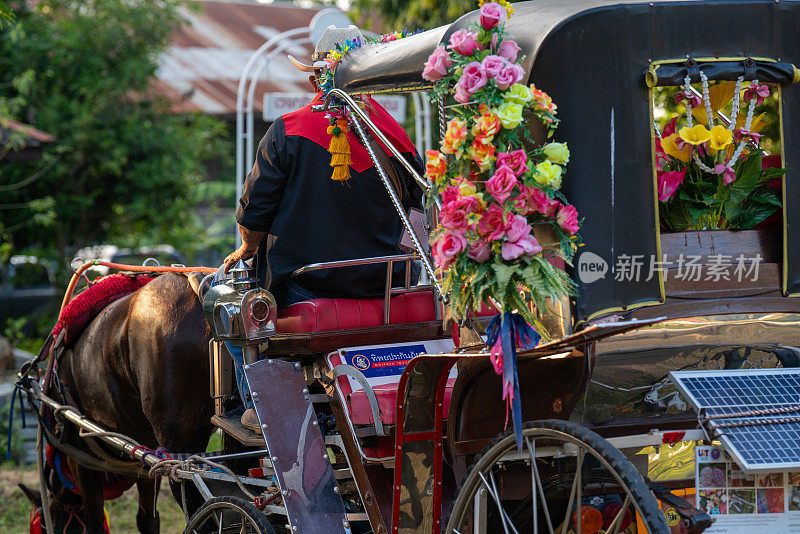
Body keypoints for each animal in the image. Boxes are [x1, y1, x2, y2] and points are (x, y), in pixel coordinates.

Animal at [22, 274, 216, 532]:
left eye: (44, 525)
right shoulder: (146, 458)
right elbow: (147, 519)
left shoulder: (82, 460)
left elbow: (94, 522)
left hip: (180, 454)